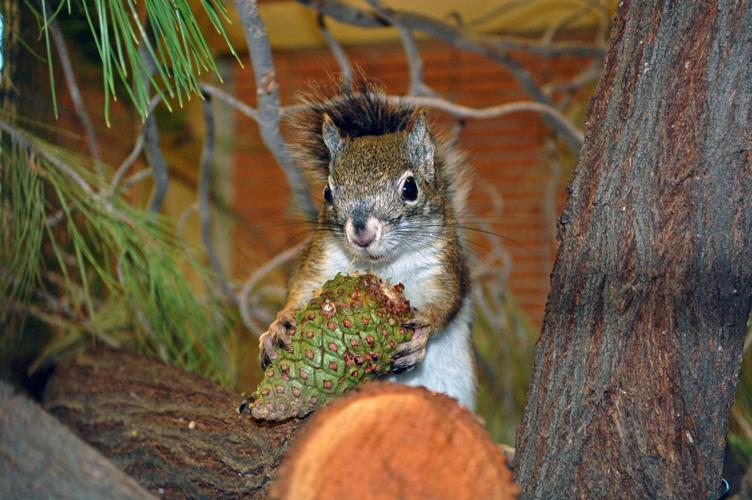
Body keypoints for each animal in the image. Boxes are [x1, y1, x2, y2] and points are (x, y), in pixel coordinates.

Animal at [258, 78, 476, 410]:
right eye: (327, 192)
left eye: (410, 188)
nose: (362, 233)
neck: (384, 265)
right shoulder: (323, 259)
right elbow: (301, 290)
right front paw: (277, 326)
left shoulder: (441, 264)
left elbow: (445, 301)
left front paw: (422, 333)